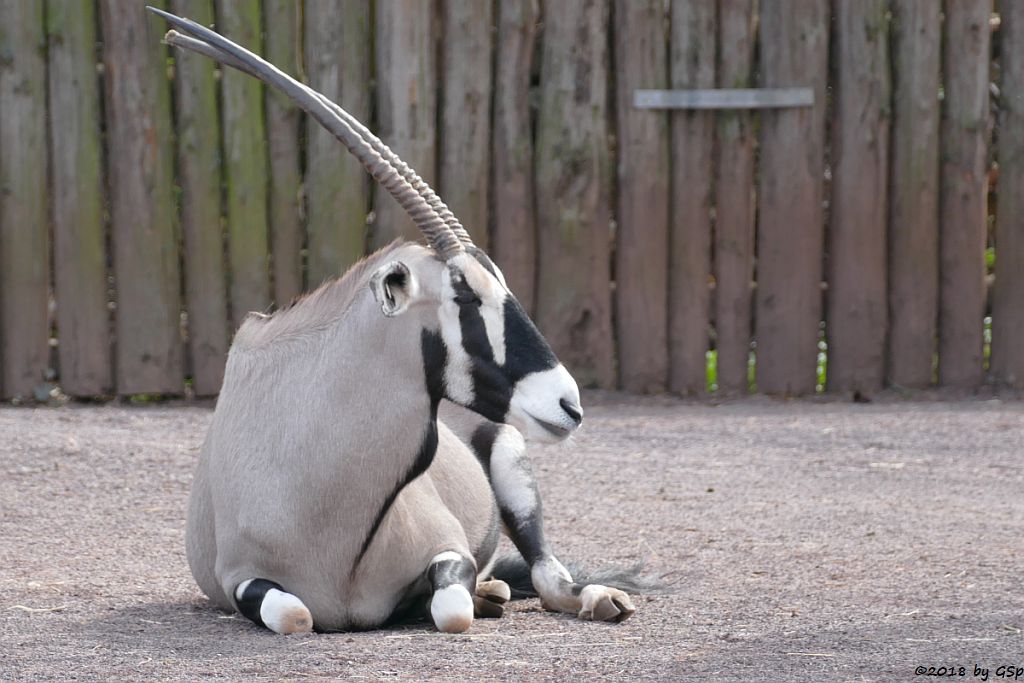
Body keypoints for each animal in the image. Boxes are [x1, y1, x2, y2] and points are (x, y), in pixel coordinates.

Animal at [149, 7, 647, 634]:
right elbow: (296, 615)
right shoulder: (240, 580)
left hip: (510, 460)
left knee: (549, 579)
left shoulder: (450, 548)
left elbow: (452, 608)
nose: (569, 403)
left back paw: (592, 598)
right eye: (465, 295)